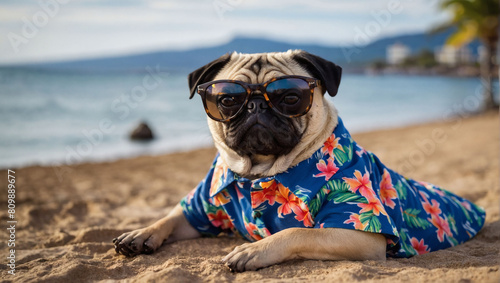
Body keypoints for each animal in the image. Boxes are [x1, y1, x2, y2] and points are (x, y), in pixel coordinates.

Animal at [113, 50, 484, 272]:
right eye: (229, 100)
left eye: (290, 97)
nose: (256, 106)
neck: (259, 171)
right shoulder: (201, 210)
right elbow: (172, 217)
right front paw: (142, 232)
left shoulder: (359, 234)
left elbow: (295, 233)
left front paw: (253, 250)